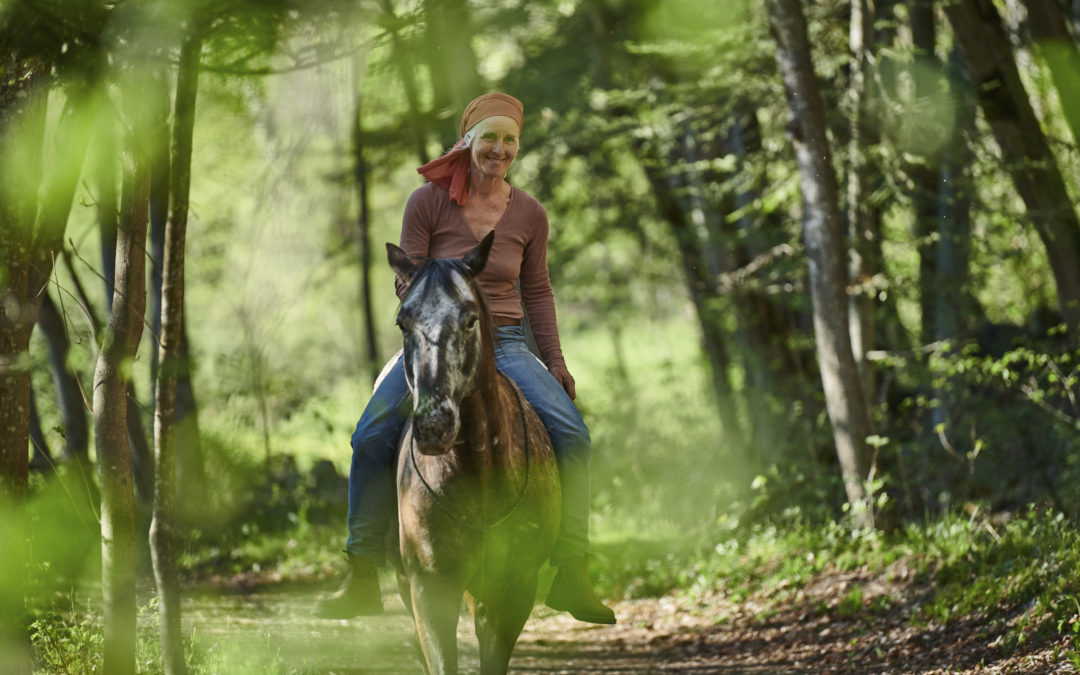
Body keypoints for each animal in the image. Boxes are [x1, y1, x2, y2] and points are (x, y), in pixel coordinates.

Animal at [386, 233, 557, 673]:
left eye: (469, 319)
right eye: (402, 322)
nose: (434, 425)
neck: (477, 469)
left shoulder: (511, 594)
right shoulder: (431, 590)